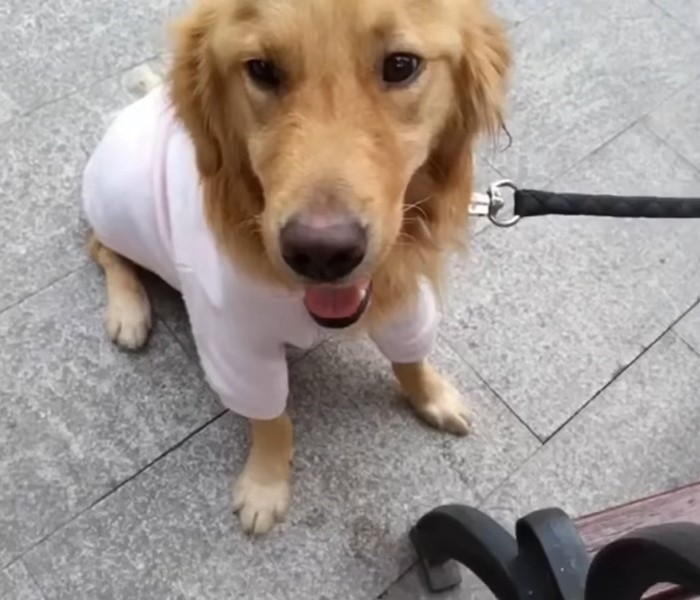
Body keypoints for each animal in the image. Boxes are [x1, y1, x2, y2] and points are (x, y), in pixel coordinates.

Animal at [85, 0, 508, 536]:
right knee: (100, 246)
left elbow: (411, 358)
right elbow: (271, 419)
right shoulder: (235, 343)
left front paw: (433, 397)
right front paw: (265, 485)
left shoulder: (405, 302)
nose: (322, 253)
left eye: (401, 65)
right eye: (262, 70)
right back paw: (129, 312)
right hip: (119, 207)